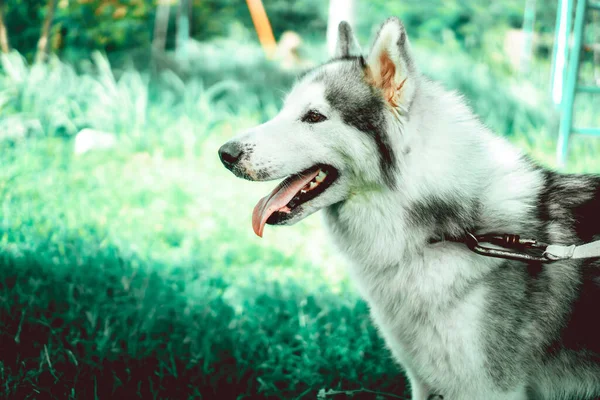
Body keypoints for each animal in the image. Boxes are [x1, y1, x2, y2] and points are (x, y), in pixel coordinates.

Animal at [219, 16, 600, 400]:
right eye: (284, 110)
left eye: (313, 117)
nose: (224, 153)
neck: (453, 232)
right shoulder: (424, 381)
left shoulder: (490, 389)